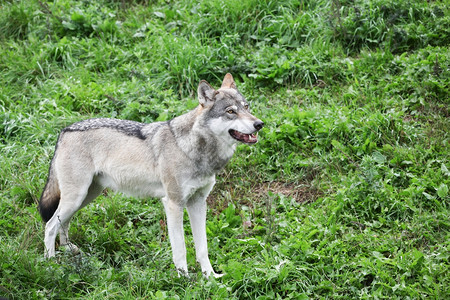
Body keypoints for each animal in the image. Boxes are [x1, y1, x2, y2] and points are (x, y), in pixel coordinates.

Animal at [39, 74, 264, 278]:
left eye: (246, 107)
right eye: (231, 111)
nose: (259, 124)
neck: (194, 149)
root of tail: (64, 130)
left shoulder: (198, 202)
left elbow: (202, 247)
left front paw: (210, 278)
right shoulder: (173, 204)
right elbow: (181, 249)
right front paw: (184, 280)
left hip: (85, 197)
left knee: (62, 222)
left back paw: (68, 250)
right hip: (77, 197)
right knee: (50, 226)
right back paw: (51, 265)